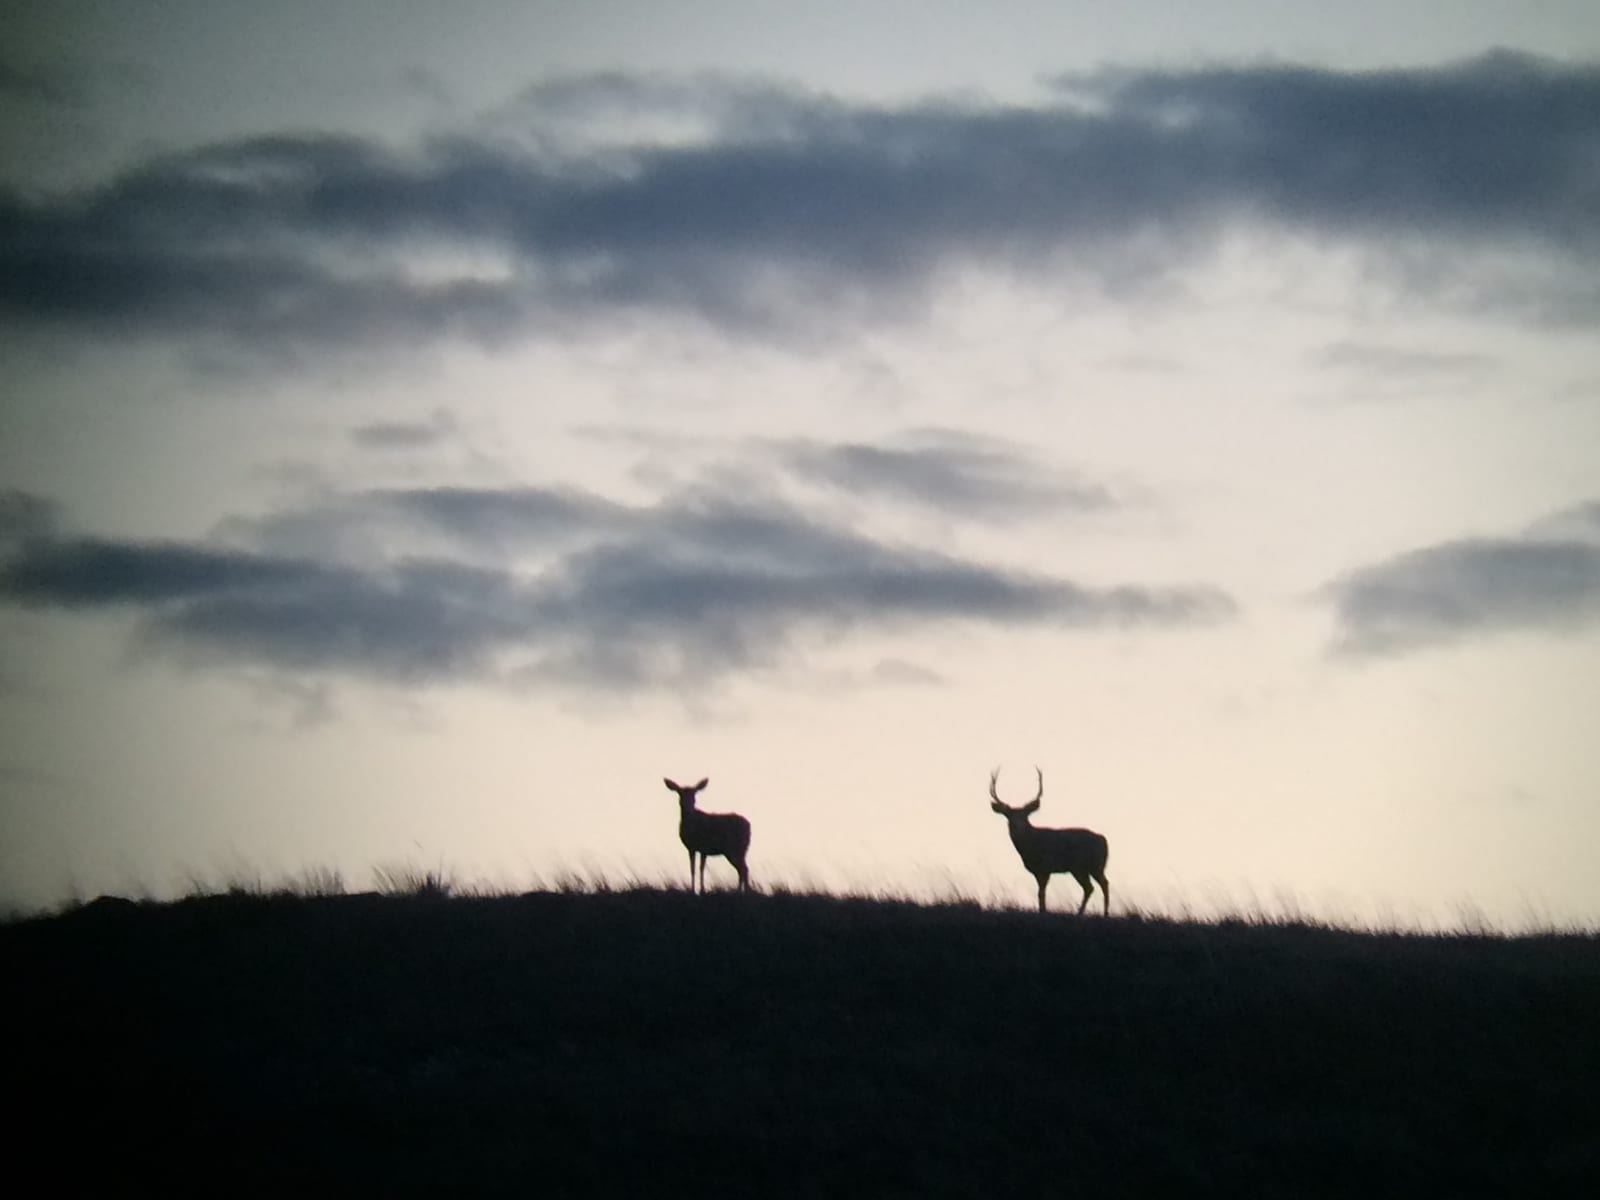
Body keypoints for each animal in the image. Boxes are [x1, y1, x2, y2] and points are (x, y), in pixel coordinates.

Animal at [989, 766, 1110, 914]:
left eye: (1025, 816)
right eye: (1009, 816)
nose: (1018, 826)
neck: (1030, 846)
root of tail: (1103, 840)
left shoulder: (1045, 867)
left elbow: (1041, 893)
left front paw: (1043, 911)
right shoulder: (1037, 871)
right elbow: (1040, 893)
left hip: (1091, 865)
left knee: (1101, 884)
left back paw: (1103, 913)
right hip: (1084, 868)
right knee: (1091, 887)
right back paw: (1082, 912)